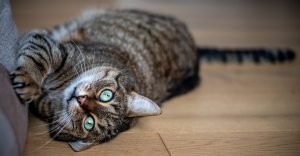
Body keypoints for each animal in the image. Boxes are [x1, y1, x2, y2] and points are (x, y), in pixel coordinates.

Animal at [9, 8, 296, 151]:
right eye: (106, 95)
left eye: (89, 123)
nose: (81, 100)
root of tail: (196, 53)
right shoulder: (58, 49)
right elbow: (36, 56)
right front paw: (29, 80)